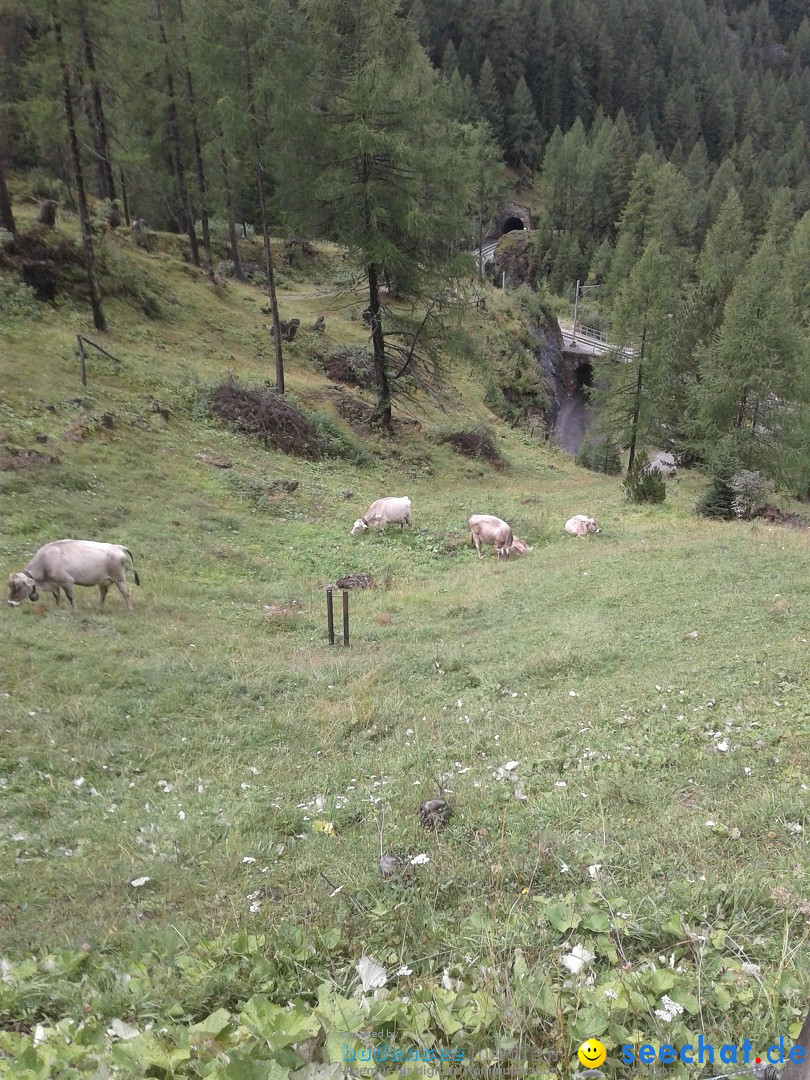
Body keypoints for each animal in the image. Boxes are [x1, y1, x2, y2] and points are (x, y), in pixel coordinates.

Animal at [5, 537, 142, 613]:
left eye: (18, 587)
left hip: (119, 578)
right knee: (103, 594)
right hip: (103, 581)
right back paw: (98, 609)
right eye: (9, 586)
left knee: (126, 593)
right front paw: (59, 607)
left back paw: (130, 610)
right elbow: (57, 596)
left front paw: (74, 609)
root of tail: (117, 547)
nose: (10, 603)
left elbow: (70, 597)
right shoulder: (54, 583)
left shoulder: (67, 581)